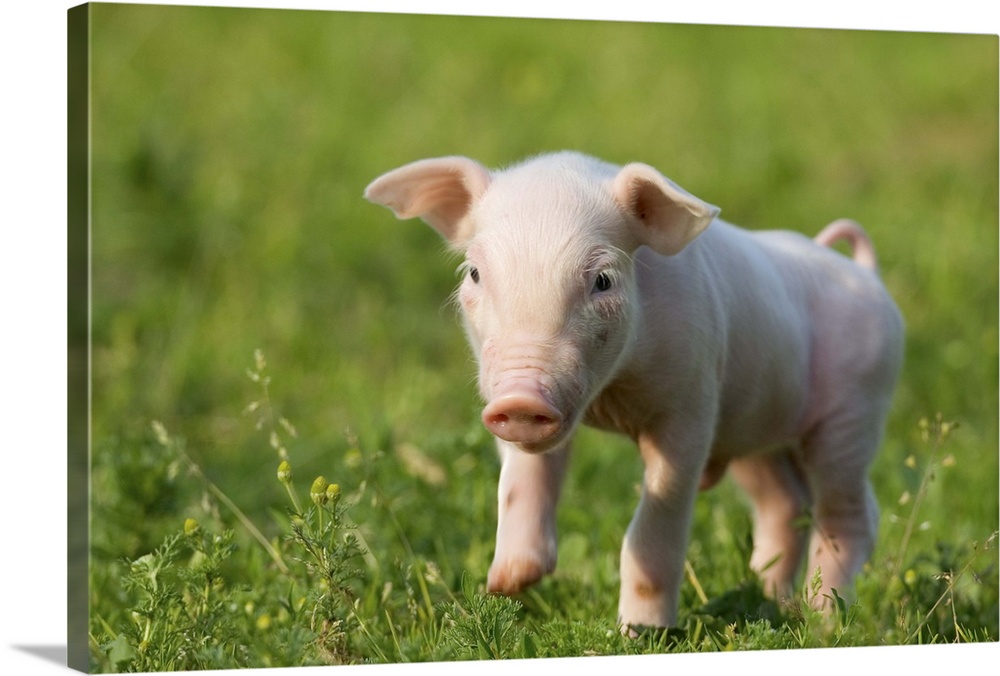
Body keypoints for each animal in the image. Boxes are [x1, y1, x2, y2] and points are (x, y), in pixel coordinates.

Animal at [364, 151, 904, 632]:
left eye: (603, 280)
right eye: (475, 274)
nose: (520, 400)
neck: (610, 397)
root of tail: (867, 274)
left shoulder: (693, 401)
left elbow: (658, 516)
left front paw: (640, 632)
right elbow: (523, 478)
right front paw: (508, 583)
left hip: (855, 410)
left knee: (850, 515)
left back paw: (824, 621)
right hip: (757, 434)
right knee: (784, 506)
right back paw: (766, 599)